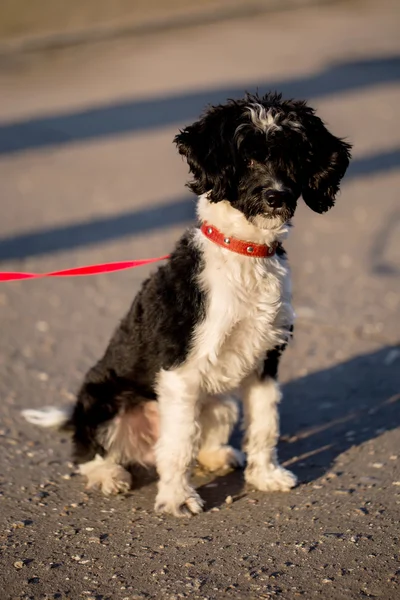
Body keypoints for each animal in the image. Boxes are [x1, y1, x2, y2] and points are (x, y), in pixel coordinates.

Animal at [23, 92, 352, 516]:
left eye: (295, 157)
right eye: (247, 157)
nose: (276, 196)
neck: (244, 252)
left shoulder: (265, 362)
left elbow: (265, 426)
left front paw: (265, 476)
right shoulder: (180, 374)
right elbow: (178, 446)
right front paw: (178, 498)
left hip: (219, 401)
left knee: (201, 437)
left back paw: (218, 456)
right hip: (104, 405)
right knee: (91, 451)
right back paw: (109, 475)